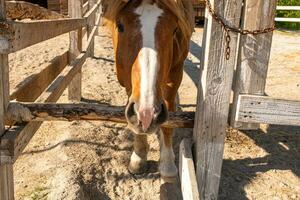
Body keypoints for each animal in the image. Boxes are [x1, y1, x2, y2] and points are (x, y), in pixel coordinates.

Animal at [103, 0, 195, 180]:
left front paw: (167, 164)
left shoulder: (174, 77)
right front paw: (138, 159)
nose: (147, 115)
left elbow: (168, 119)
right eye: (120, 25)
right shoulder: (128, 84)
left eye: (175, 29)